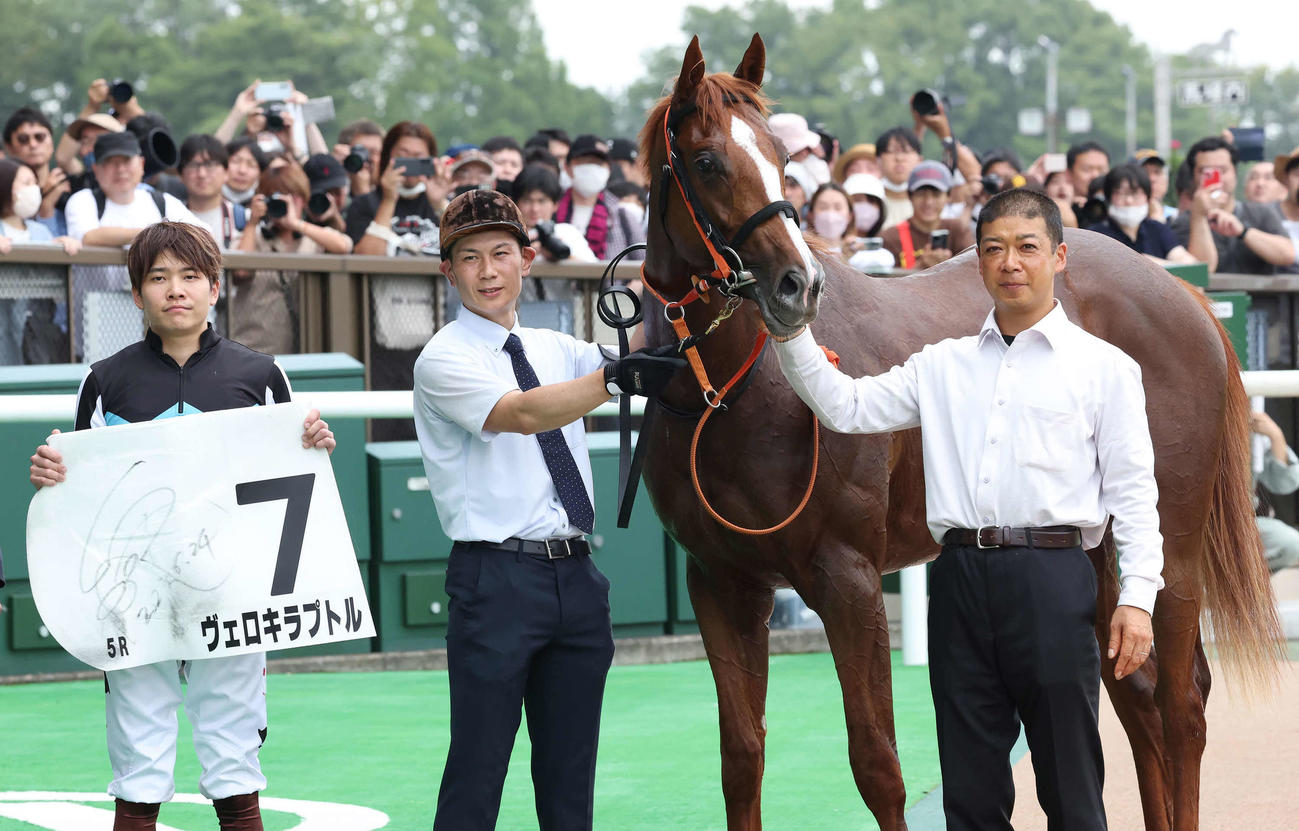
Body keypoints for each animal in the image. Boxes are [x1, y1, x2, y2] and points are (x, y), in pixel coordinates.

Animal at [635, 34, 1284, 831]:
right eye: (705, 161)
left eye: (780, 157)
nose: (797, 285)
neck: (733, 391)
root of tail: (1184, 291)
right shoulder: (721, 584)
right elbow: (741, 757)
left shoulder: (848, 577)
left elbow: (876, 763)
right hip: (1100, 553)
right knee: (1136, 699)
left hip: (1170, 544)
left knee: (1182, 704)